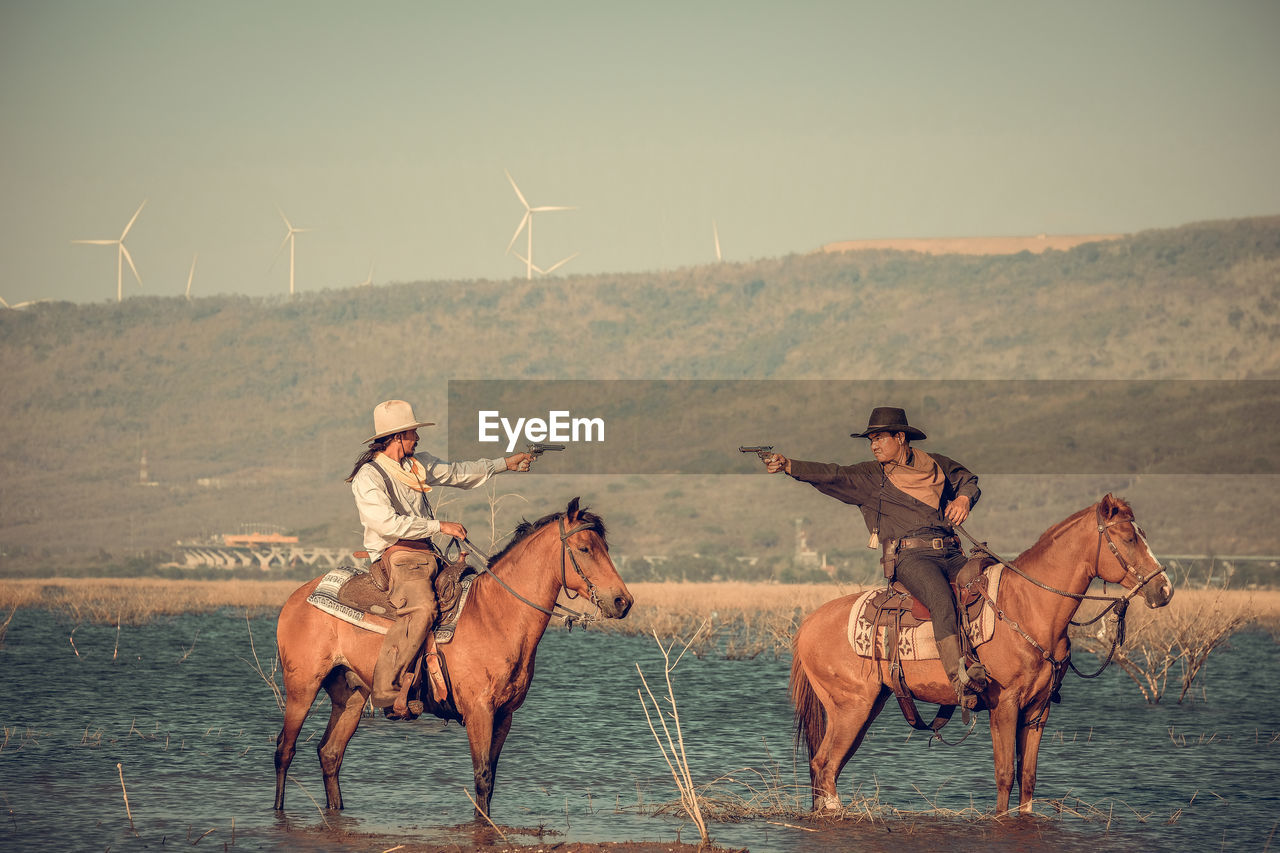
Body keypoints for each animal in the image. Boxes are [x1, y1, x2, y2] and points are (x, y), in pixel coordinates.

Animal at [272, 499, 632, 819]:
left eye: (605, 547)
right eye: (584, 548)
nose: (622, 601)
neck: (494, 615)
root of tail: (297, 597)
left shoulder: (504, 715)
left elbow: (491, 778)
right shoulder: (478, 711)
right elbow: (482, 777)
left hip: (351, 696)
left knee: (330, 754)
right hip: (302, 687)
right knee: (284, 750)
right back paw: (277, 810)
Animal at [788, 494, 1172, 814]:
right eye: (1129, 538)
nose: (1164, 589)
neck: (1027, 606)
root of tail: (807, 625)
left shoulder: (1038, 709)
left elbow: (1027, 778)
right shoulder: (1005, 705)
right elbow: (1004, 775)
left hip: (867, 706)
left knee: (826, 767)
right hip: (851, 708)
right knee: (825, 765)